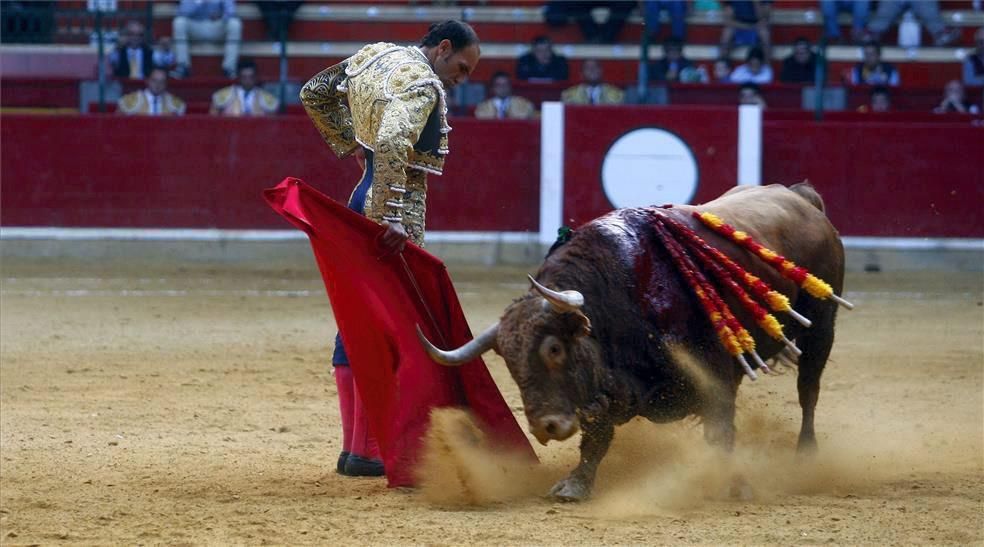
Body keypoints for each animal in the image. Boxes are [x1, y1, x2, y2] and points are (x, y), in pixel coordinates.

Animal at [416, 184, 844, 500]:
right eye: (508, 361)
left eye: (554, 349)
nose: (546, 427)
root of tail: (801, 198)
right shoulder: (609, 392)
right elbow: (597, 435)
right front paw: (575, 485)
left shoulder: (717, 376)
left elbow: (720, 432)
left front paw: (732, 485)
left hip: (822, 326)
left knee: (809, 390)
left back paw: (806, 456)